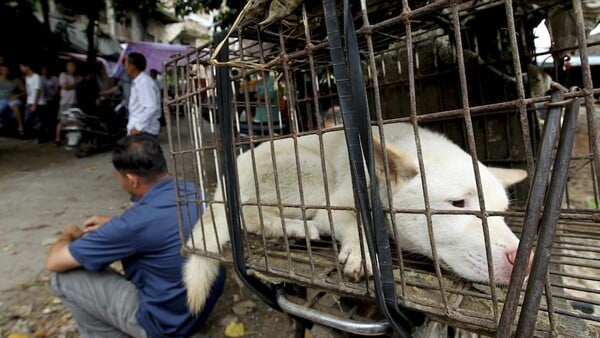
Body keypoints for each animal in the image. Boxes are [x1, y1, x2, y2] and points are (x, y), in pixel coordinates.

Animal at [182, 122, 524, 314]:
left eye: (500, 213)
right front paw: (362, 250)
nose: (523, 258)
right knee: (247, 215)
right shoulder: (335, 205)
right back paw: (296, 228)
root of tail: (227, 177)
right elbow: (356, 223)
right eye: (457, 203)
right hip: (309, 172)